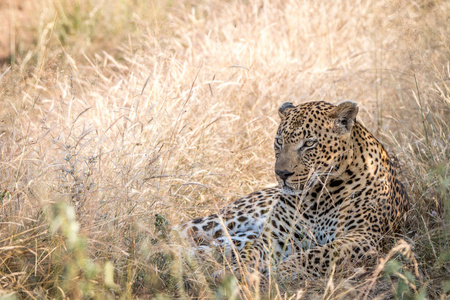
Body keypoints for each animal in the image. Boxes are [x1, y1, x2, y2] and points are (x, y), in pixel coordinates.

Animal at [175, 100, 408, 278]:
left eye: (309, 143)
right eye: (279, 141)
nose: (282, 174)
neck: (317, 196)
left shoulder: (362, 236)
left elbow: (318, 255)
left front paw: (283, 271)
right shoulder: (275, 236)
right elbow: (251, 254)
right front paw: (236, 272)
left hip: (232, 238)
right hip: (226, 219)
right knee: (181, 231)